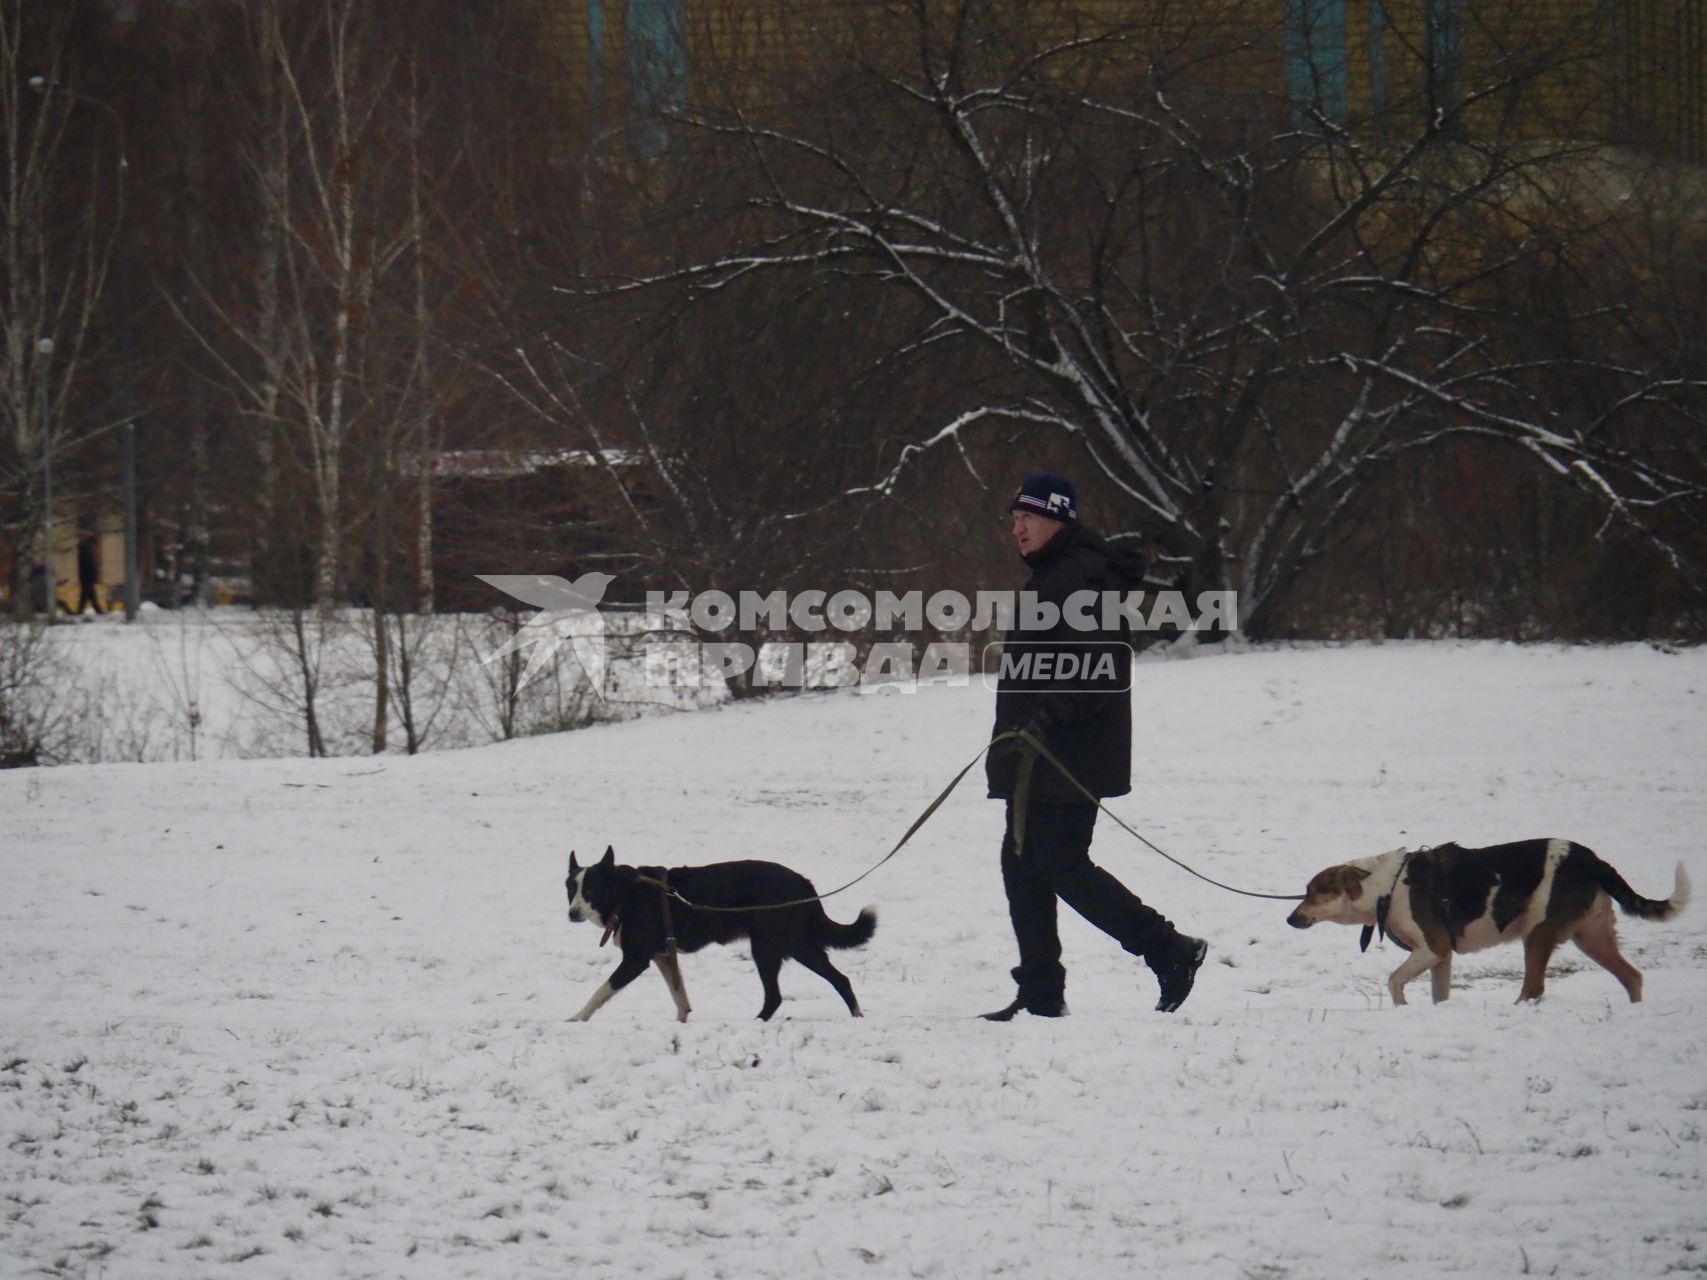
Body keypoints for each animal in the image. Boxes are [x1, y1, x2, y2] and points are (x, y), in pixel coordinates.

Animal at [566, 846, 880, 1030]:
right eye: (570, 889)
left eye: (590, 890)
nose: (571, 914)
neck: (626, 892)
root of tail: (802, 882)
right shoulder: (663, 955)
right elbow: (679, 995)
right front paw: (681, 1022)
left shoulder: (637, 959)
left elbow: (601, 991)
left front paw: (577, 1018)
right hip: (796, 946)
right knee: (839, 979)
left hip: (772, 948)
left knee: (779, 995)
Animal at [1283, 843, 1686, 1010]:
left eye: (1312, 892)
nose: (1289, 918)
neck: (1388, 887)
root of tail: (1593, 860)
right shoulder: (1441, 957)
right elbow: (1440, 996)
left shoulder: (1433, 948)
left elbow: (1394, 981)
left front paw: (1401, 1007)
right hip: (1591, 936)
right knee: (1633, 977)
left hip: (1538, 933)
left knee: (1534, 986)